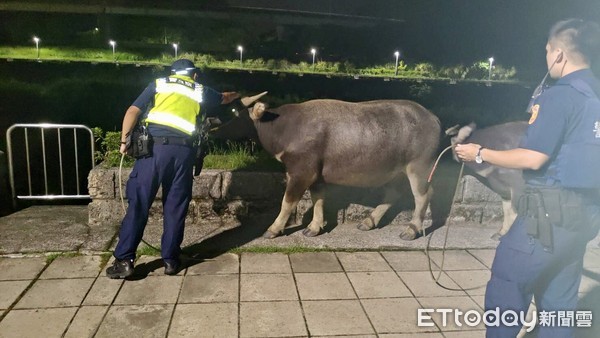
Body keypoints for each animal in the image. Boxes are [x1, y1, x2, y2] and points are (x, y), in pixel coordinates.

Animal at [230, 92, 440, 239]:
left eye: (236, 115)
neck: (286, 128)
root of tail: (433, 118)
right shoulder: (316, 177)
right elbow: (318, 199)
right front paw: (314, 228)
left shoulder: (301, 173)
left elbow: (287, 203)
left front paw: (273, 229)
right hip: (396, 171)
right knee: (393, 194)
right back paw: (368, 221)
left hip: (419, 167)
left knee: (423, 196)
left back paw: (411, 230)